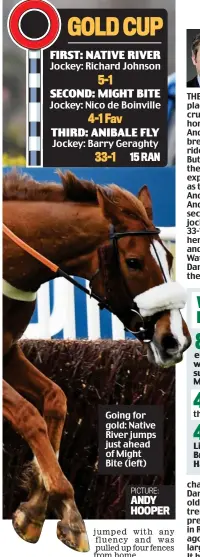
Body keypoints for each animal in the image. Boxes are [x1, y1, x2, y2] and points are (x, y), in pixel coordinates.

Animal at [3, 172, 191, 548]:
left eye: (168, 257)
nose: (175, 340)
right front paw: (71, 514)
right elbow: (28, 415)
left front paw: (35, 509)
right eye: (133, 262)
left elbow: (55, 399)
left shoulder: (7, 350)